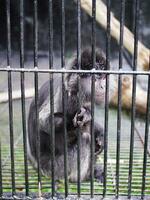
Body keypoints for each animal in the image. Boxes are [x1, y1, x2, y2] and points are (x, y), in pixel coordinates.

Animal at [27, 48, 106, 183]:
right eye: (95, 78)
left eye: (102, 77)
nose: (102, 86)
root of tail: (38, 164)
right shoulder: (64, 93)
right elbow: (42, 121)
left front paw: (100, 133)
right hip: (57, 168)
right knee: (85, 137)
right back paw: (84, 176)